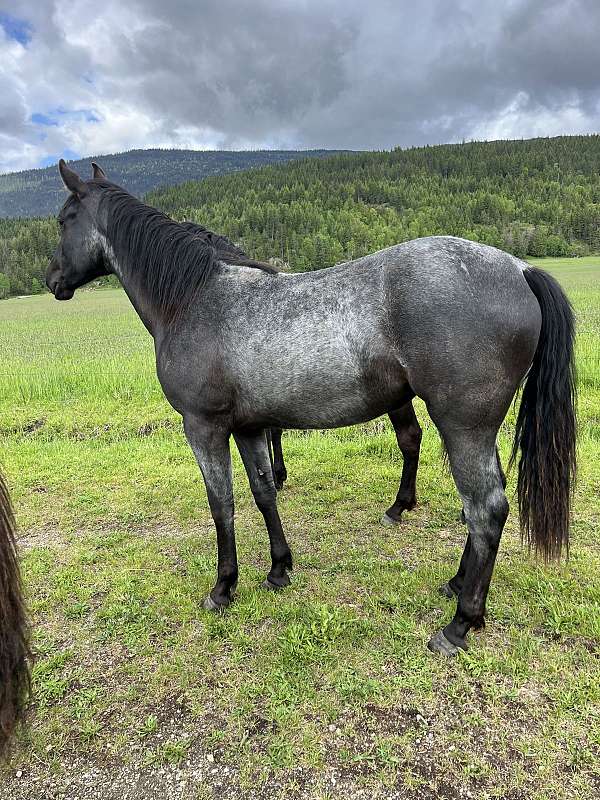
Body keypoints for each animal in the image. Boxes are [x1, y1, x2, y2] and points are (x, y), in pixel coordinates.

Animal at [46, 160, 576, 656]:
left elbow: (223, 505)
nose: (52, 280)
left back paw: (460, 623)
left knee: (485, 509)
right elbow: (263, 493)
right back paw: (454, 583)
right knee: (480, 505)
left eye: (63, 219)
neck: (194, 299)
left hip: (464, 427)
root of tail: (519, 268)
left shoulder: (203, 428)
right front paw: (279, 568)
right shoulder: (250, 427)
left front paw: (223, 588)